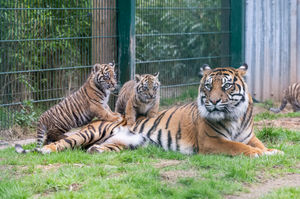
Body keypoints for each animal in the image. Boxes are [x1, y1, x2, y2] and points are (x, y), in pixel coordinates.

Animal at [34, 64, 282, 157]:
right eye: (209, 86)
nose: (212, 102)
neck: (235, 116)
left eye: (227, 86)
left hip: (126, 142)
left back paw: (96, 150)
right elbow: (239, 147)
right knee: (62, 142)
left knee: (99, 147)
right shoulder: (212, 141)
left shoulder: (249, 136)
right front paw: (261, 154)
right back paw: (45, 149)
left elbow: (258, 144)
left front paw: (274, 151)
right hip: (90, 131)